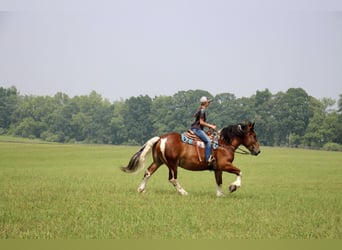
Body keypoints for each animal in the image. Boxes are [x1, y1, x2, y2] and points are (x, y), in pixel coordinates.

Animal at [121, 121, 260, 197]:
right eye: (254, 135)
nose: (258, 151)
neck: (223, 143)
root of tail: (161, 138)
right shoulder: (225, 165)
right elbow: (240, 172)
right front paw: (233, 187)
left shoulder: (218, 168)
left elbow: (219, 181)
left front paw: (220, 194)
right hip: (172, 164)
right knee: (172, 179)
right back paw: (183, 192)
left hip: (158, 162)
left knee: (148, 172)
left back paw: (141, 189)